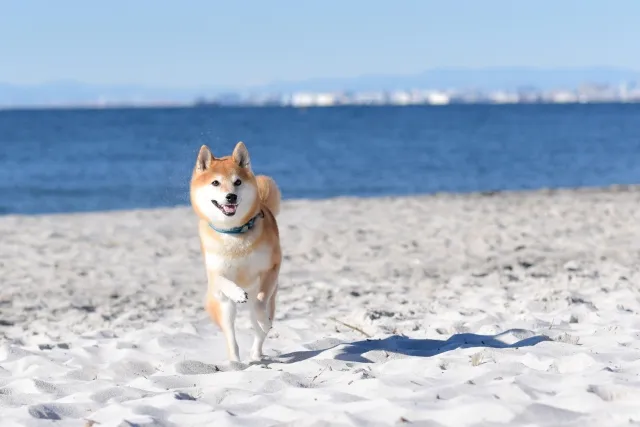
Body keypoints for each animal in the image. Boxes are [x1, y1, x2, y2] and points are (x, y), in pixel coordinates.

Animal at [189, 142, 282, 362]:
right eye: (215, 183)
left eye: (237, 182)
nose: (231, 196)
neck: (234, 234)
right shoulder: (214, 271)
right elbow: (222, 279)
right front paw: (237, 292)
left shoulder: (271, 268)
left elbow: (259, 304)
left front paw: (263, 320)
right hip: (225, 308)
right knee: (230, 334)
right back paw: (235, 361)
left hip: (270, 299)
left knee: (259, 328)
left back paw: (256, 353)